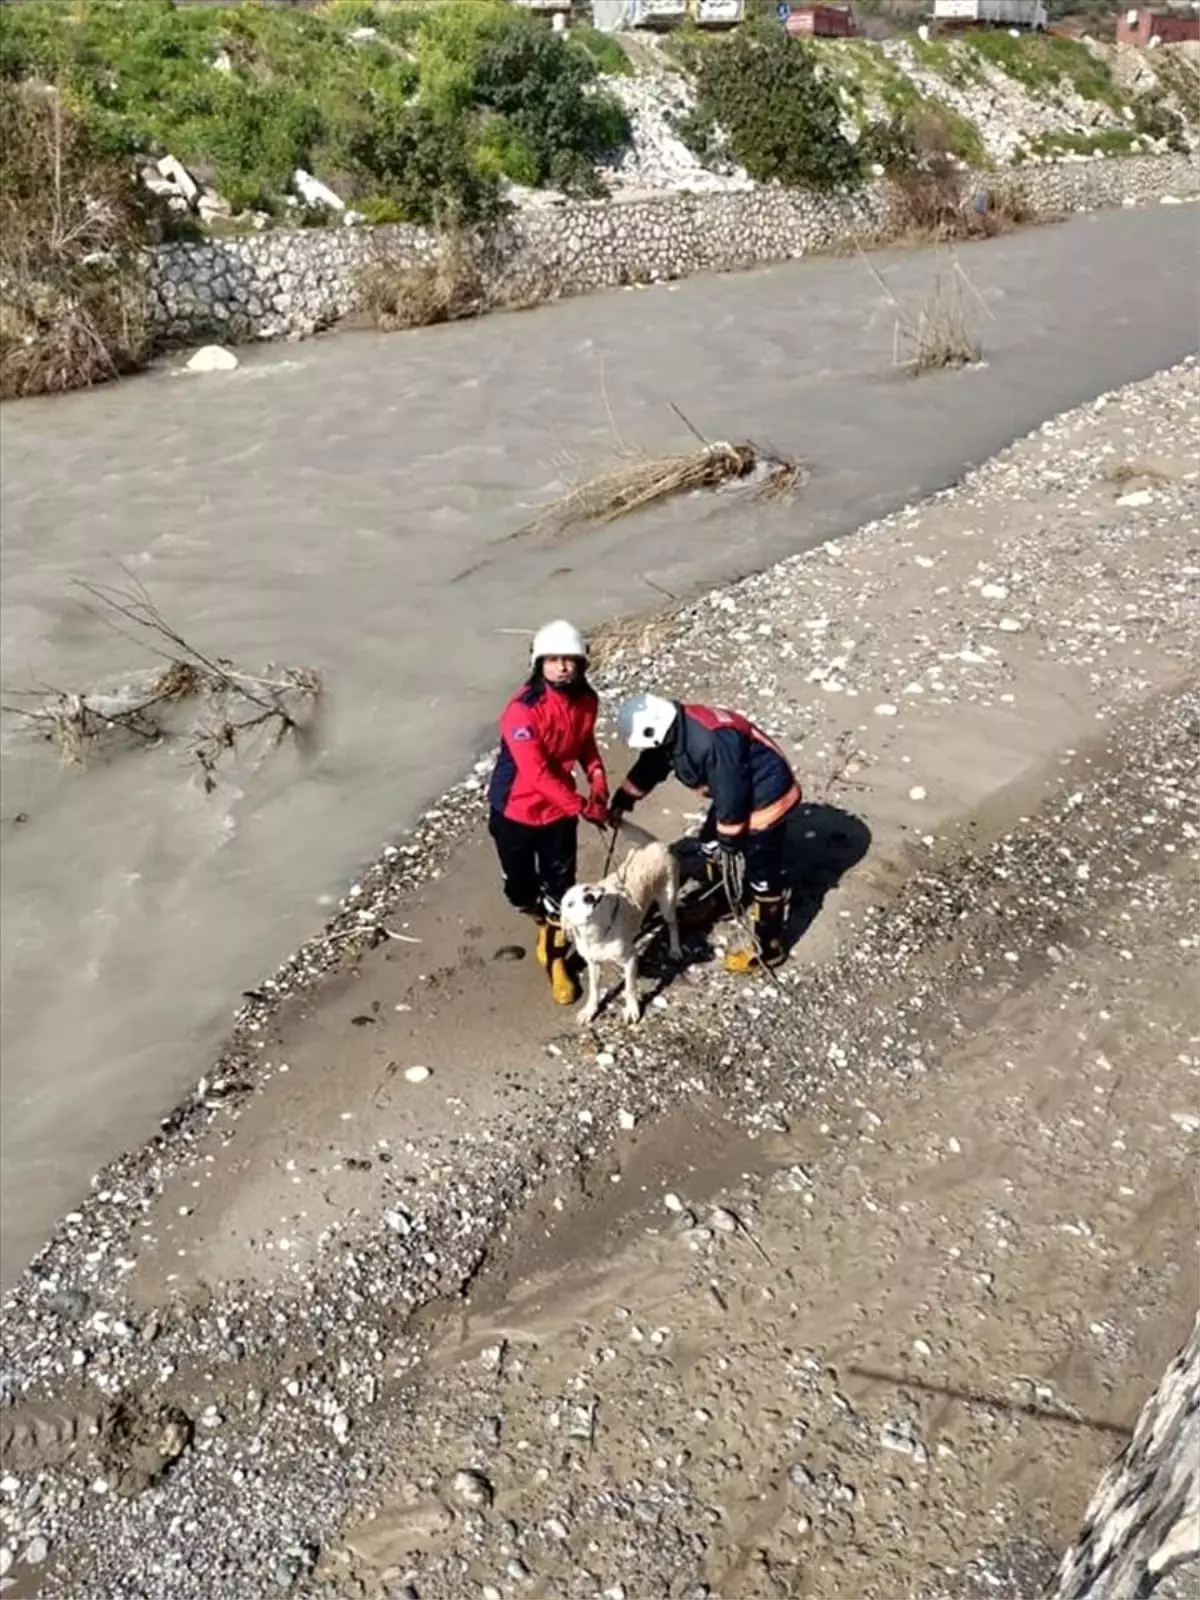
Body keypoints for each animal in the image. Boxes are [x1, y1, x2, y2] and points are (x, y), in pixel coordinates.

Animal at [560, 819, 681, 1030]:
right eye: (570, 903)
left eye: (586, 889)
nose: (589, 897)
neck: (598, 932)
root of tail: (653, 844)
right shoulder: (593, 963)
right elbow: (593, 989)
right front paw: (589, 1010)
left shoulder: (630, 959)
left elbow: (630, 987)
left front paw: (632, 1009)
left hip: (667, 901)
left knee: (673, 924)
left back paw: (675, 949)